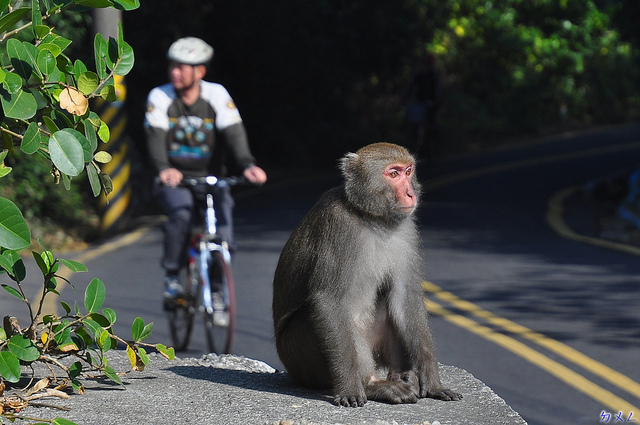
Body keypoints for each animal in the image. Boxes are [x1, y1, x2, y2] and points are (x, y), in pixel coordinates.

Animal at [270, 141, 460, 406]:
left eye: (408, 171)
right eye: (393, 174)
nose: (410, 194)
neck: (372, 218)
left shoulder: (407, 230)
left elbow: (405, 297)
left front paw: (432, 382)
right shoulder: (339, 227)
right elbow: (328, 301)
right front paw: (351, 388)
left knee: (387, 298)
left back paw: (401, 375)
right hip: (299, 359)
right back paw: (373, 385)